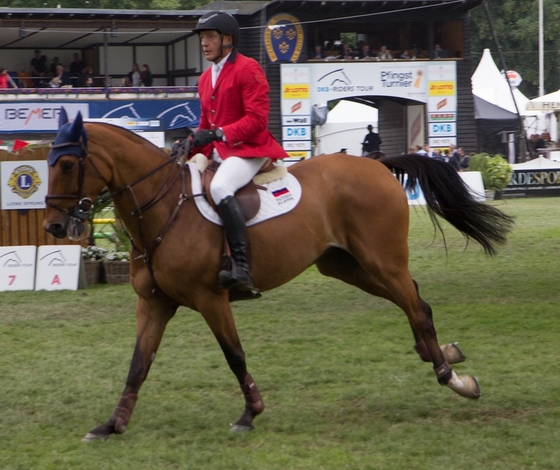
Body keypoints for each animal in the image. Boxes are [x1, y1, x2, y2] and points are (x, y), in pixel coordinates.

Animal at [46, 111, 516, 440]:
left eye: (67, 164)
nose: (53, 226)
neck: (164, 209)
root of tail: (379, 165)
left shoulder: (210, 299)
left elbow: (234, 355)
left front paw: (249, 414)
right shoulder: (155, 303)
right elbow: (138, 365)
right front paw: (111, 424)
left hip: (382, 260)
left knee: (414, 305)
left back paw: (452, 378)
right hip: (346, 265)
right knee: (415, 301)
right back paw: (444, 354)